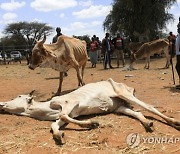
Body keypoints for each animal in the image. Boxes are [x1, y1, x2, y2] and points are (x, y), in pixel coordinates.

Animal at [0, 79, 180, 144]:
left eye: (19, 96)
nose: (2, 104)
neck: (46, 108)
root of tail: (127, 86)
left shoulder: (70, 104)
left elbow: (63, 115)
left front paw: (93, 123)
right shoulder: (67, 115)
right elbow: (54, 124)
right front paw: (59, 135)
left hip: (124, 94)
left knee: (149, 107)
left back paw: (175, 122)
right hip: (120, 107)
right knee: (137, 113)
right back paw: (147, 123)